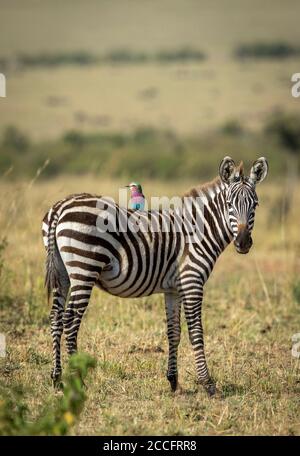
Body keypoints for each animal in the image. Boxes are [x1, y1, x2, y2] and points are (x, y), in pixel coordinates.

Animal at [41, 157, 268, 396]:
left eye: (255, 205)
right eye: (229, 204)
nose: (243, 243)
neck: (199, 230)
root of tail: (60, 207)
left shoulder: (173, 289)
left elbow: (174, 332)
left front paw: (173, 381)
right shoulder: (192, 281)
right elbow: (196, 333)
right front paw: (207, 383)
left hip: (63, 274)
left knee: (56, 318)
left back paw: (57, 378)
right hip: (84, 269)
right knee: (70, 321)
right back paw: (78, 380)